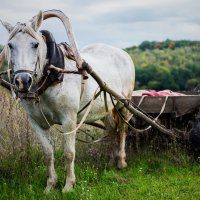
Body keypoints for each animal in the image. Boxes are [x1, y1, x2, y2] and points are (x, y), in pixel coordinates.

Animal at [0, 10, 135, 192]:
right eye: (10, 45)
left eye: (35, 44)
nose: (22, 81)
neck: (52, 77)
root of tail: (124, 53)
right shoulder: (36, 122)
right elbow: (48, 153)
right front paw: (50, 185)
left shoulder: (69, 119)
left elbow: (69, 153)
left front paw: (68, 185)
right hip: (105, 108)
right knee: (112, 130)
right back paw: (111, 161)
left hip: (123, 104)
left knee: (122, 130)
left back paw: (120, 161)